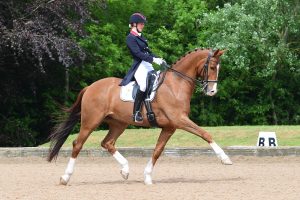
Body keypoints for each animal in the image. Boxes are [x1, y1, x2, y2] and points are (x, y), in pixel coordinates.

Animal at [48, 47, 233, 185]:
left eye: (218, 68)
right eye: (211, 67)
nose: (212, 91)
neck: (175, 85)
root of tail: (90, 87)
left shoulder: (170, 127)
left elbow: (158, 150)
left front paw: (147, 177)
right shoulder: (179, 120)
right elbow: (205, 134)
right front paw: (225, 159)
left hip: (118, 123)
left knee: (107, 143)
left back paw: (125, 170)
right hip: (90, 122)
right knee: (78, 144)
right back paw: (65, 177)